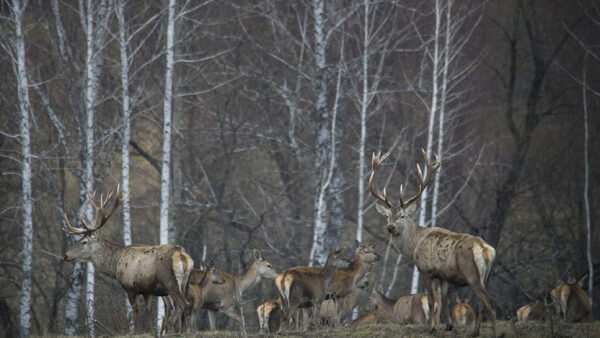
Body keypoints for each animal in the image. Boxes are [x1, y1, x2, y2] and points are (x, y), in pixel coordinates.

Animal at [61, 186, 192, 334]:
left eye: (84, 242)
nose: (66, 255)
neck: (115, 265)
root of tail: (182, 256)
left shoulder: (130, 286)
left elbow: (136, 311)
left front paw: (136, 332)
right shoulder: (147, 291)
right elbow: (148, 312)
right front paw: (152, 333)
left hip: (170, 281)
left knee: (184, 305)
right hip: (185, 284)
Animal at [368, 151, 500, 336]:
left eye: (402, 215)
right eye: (387, 216)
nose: (390, 227)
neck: (414, 245)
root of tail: (486, 249)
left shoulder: (425, 269)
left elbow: (431, 300)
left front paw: (430, 327)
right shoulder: (444, 275)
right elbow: (444, 299)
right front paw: (449, 326)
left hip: (472, 273)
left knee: (489, 301)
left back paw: (494, 333)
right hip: (487, 275)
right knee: (482, 301)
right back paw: (475, 332)